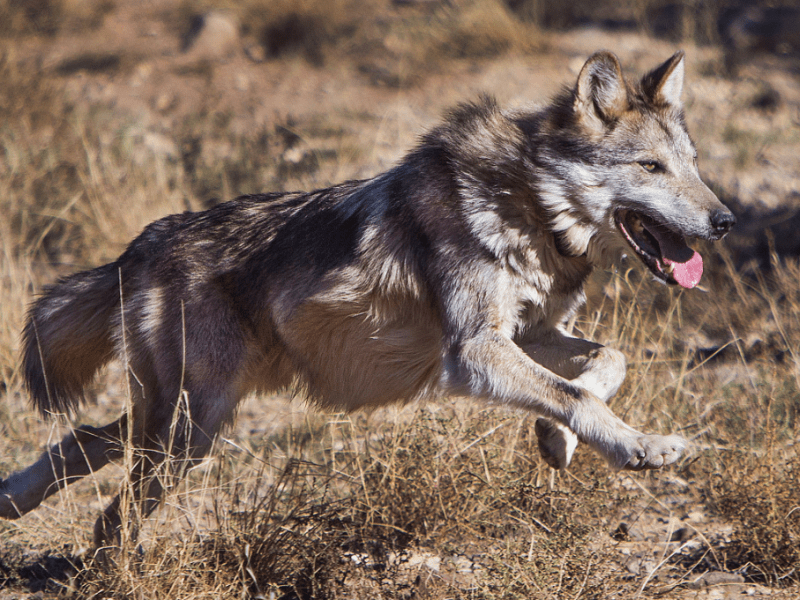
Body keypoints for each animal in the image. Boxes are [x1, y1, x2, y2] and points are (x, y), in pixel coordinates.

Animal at [1, 51, 736, 548]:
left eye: (694, 165)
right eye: (650, 168)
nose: (726, 221)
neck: (527, 205)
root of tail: (139, 246)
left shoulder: (526, 336)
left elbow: (604, 366)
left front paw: (555, 441)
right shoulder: (474, 353)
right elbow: (578, 393)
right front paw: (637, 447)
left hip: (185, 422)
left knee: (85, 441)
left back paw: (12, 498)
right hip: (188, 428)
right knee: (112, 513)